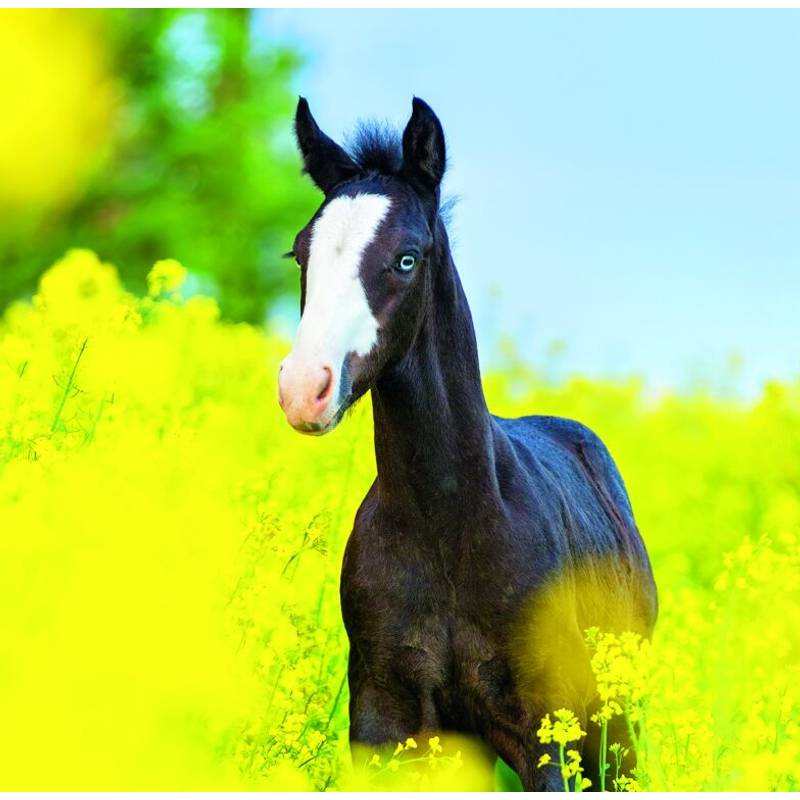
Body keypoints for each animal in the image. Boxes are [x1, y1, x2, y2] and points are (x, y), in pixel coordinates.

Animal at [277, 96, 658, 791]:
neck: (448, 519)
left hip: (618, 731)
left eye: (406, 258)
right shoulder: (386, 724)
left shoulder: (544, 730)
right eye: (299, 255)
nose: (303, 389)